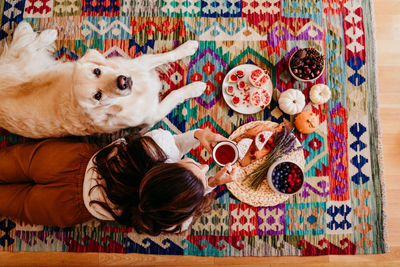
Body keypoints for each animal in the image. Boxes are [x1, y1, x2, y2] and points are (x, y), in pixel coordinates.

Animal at [0, 21, 206, 138]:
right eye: (97, 96)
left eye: (97, 71)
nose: (123, 81)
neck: (136, 92)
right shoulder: (154, 113)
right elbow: (175, 94)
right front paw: (196, 87)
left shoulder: (139, 63)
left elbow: (166, 55)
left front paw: (188, 47)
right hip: (24, 65)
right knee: (24, 47)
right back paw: (44, 33)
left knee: (25, 45)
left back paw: (47, 33)